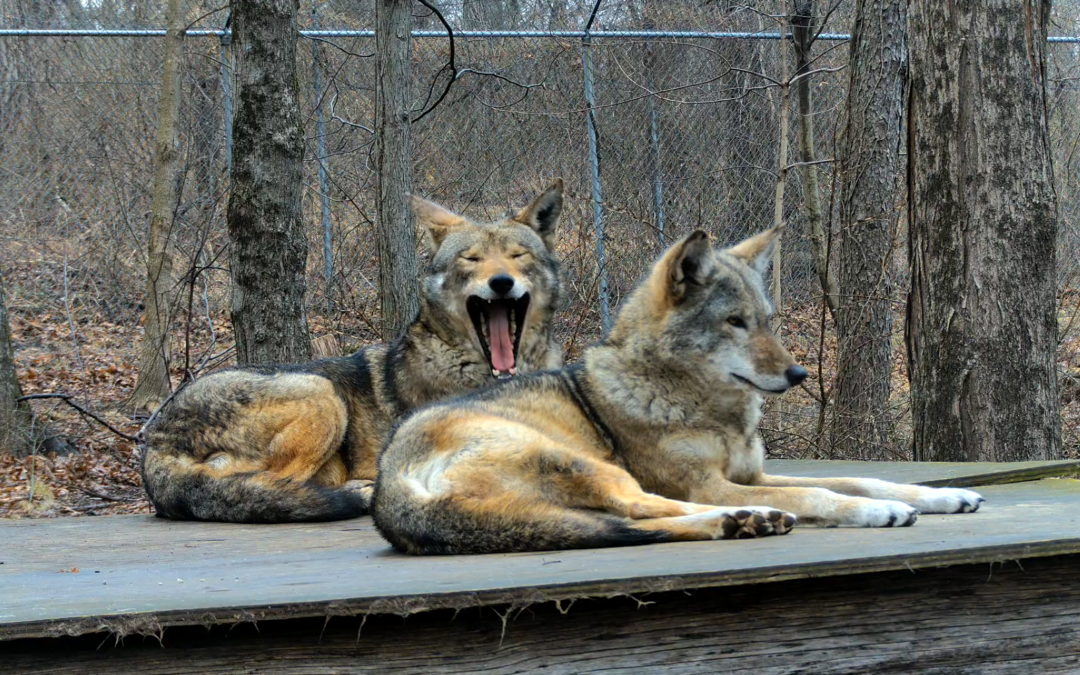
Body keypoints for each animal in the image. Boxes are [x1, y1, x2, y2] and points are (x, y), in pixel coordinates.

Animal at [141, 181, 565, 523]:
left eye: (518, 256)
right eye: (471, 258)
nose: (501, 282)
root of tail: (154, 439)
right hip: (320, 393)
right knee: (273, 484)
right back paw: (358, 491)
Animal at [372, 228, 984, 554]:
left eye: (767, 321)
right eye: (734, 323)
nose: (798, 376)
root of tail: (390, 489)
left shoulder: (753, 475)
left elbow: (858, 477)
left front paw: (941, 496)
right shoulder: (713, 482)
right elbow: (821, 495)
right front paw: (879, 510)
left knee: (635, 523)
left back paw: (745, 523)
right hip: (590, 466)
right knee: (643, 508)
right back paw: (751, 518)